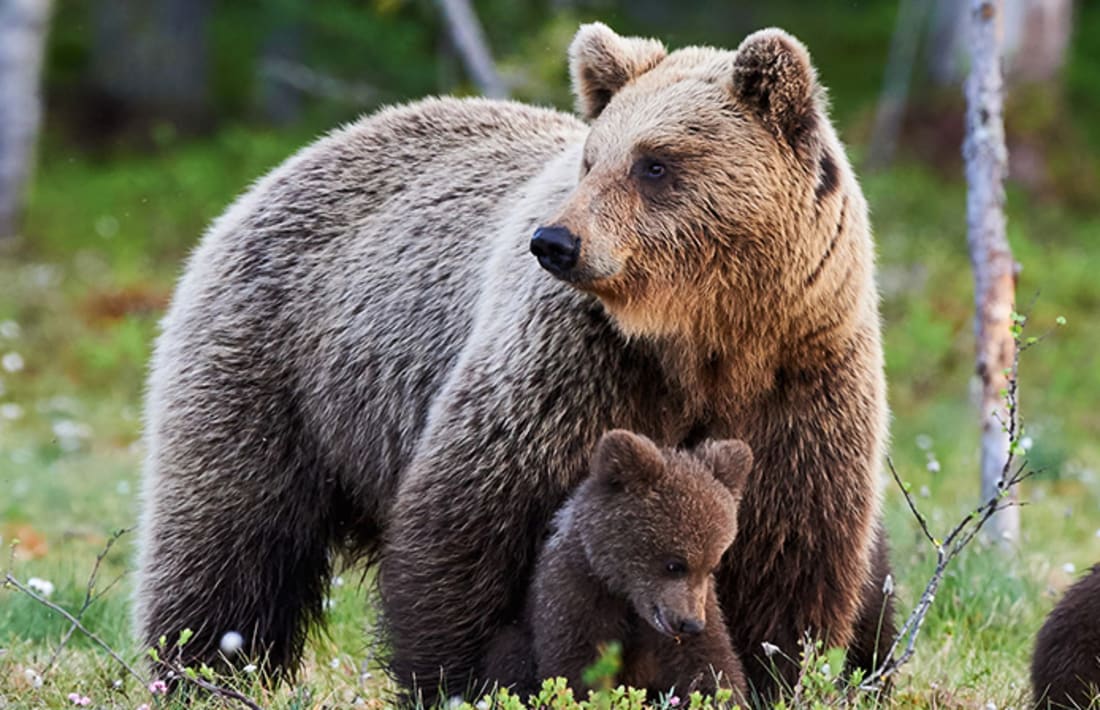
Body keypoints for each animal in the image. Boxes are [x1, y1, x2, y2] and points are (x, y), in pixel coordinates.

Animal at [484, 430, 751, 701]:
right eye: (674, 565)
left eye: (712, 566)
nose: (690, 624)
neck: (625, 594)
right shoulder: (575, 594)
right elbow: (575, 664)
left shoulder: (697, 607)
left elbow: (709, 663)